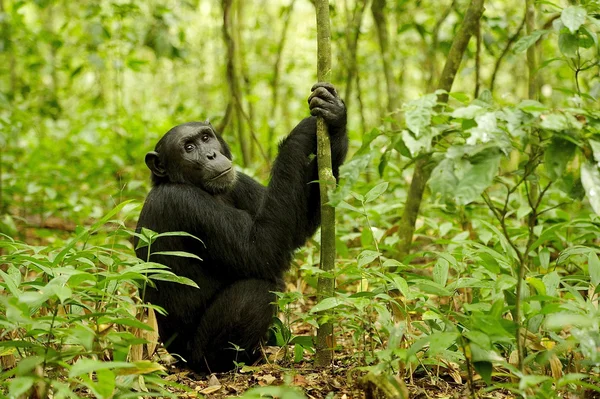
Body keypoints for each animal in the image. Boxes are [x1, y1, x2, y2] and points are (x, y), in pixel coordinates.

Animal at [134, 83, 350, 374]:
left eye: (206, 138)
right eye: (188, 147)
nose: (211, 154)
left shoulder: (239, 181)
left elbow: (292, 229)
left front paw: (334, 114)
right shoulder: (183, 203)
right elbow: (261, 249)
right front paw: (303, 131)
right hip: (198, 356)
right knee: (256, 290)